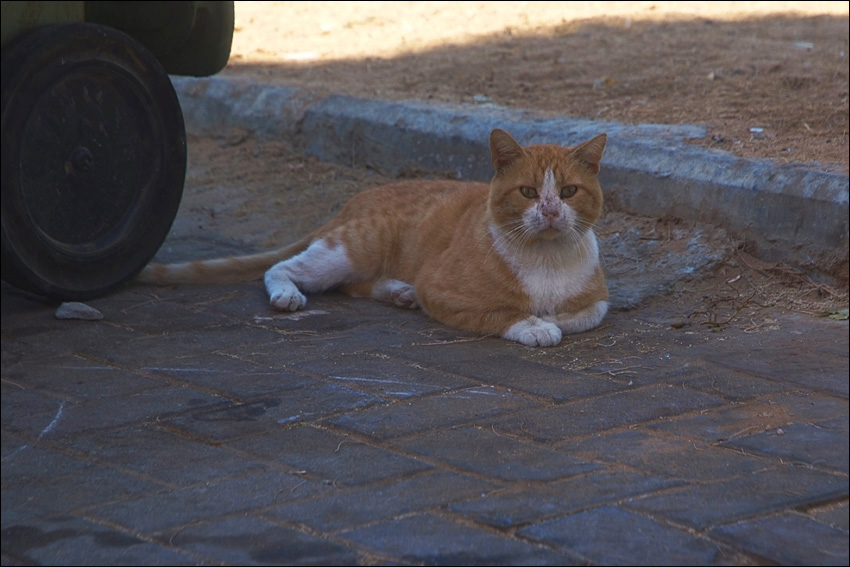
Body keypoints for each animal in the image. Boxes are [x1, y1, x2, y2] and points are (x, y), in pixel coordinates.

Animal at [138, 129, 609, 347]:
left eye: (568, 192)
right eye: (528, 192)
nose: (550, 211)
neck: (546, 260)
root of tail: (353, 201)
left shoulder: (598, 298)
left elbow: (583, 314)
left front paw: (551, 317)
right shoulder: (441, 290)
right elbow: (503, 314)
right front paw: (535, 325)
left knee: (355, 286)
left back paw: (400, 292)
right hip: (350, 249)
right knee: (283, 268)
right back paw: (288, 295)